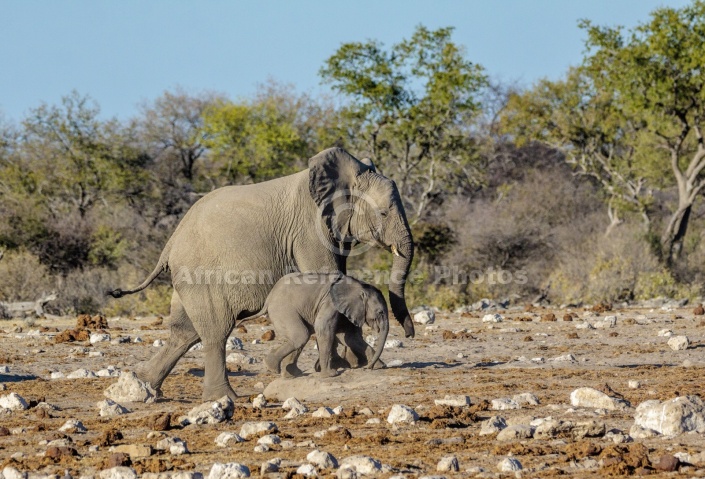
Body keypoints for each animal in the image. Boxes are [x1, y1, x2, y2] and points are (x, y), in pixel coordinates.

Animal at [239, 274, 388, 378]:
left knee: (300, 337)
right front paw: (330, 375)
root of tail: (268, 298)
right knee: (301, 336)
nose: (367, 368)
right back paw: (272, 367)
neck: (359, 286)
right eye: (380, 312)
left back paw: (292, 374)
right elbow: (324, 329)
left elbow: (351, 338)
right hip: (283, 310)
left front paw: (380, 366)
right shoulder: (330, 303)